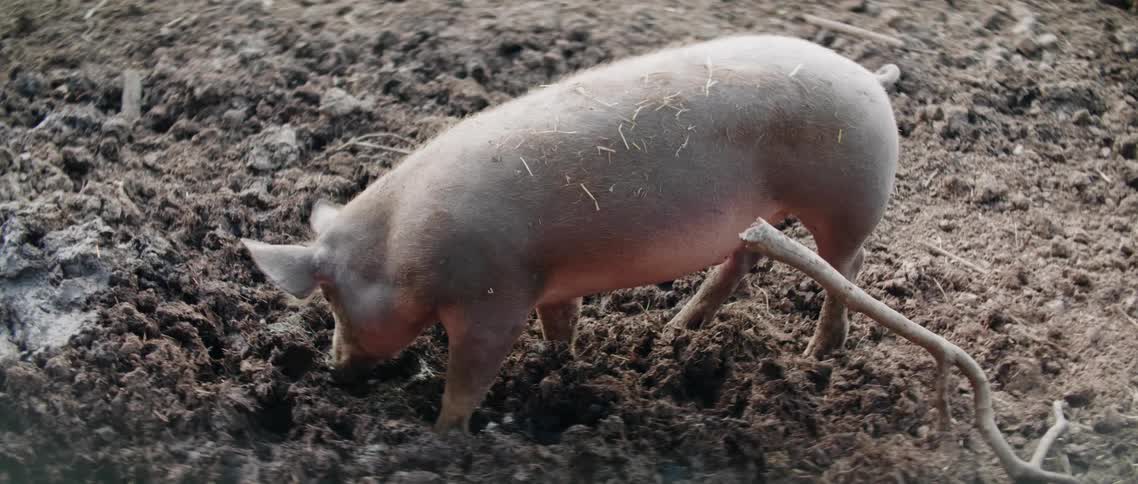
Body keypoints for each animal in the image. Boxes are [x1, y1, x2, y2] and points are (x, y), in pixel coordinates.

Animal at [241, 34, 901, 433]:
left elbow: (471, 374)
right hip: (759, 216)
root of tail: (871, 77)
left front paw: (444, 433)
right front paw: (560, 366)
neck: (402, 249)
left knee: (846, 268)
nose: (335, 369)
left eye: (331, 299)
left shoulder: (493, 299)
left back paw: (817, 355)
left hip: (849, 198)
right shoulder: (547, 283)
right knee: (740, 262)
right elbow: (563, 321)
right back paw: (676, 331)